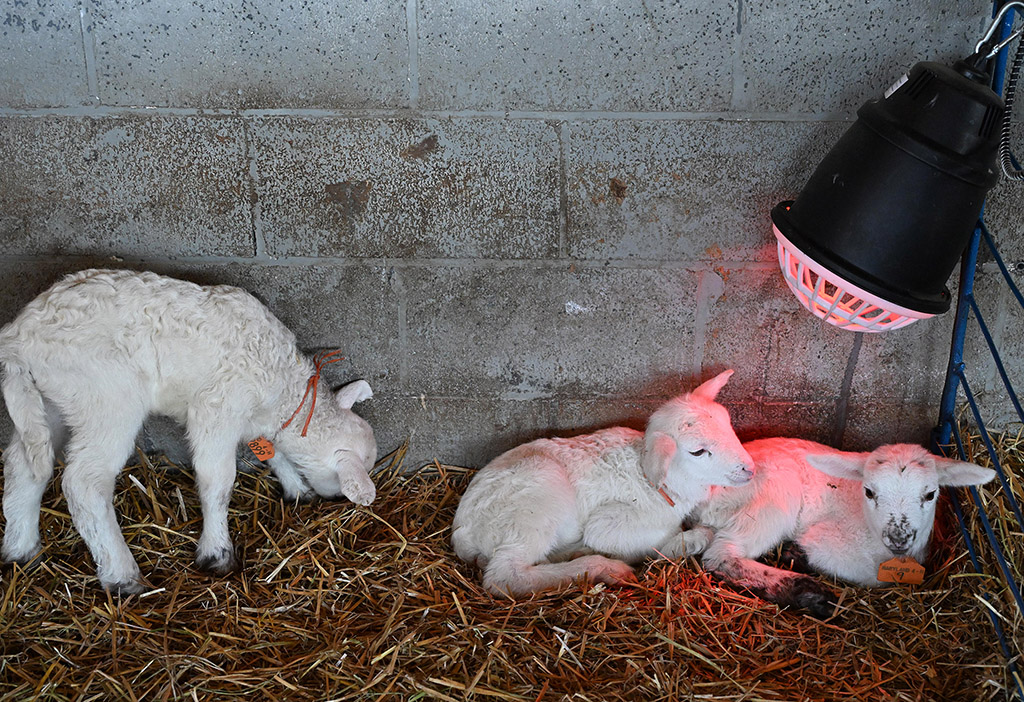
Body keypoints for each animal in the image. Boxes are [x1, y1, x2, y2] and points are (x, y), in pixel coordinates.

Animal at [0, 269, 378, 594]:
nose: (335, 500)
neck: (281, 387)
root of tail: (18, 337)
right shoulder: (216, 407)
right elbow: (217, 482)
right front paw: (217, 553)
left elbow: (273, 452)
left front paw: (297, 488)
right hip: (106, 398)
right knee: (84, 483)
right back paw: (122, 576)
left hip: (51, 398)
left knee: (25, 464)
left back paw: (21, 549)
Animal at [451, 370, 755, 597]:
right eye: (698, 451)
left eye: (728, 425)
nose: (749, 469)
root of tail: (462, 531)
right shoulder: (609, 524)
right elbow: (661, 540)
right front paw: (691, 540)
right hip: (534, 505)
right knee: (505, 576)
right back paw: (604, 566)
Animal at [685, 438, 996, 618]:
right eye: (869, 491)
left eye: (931, 494)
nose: (898, 537)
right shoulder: (830, 541)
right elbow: (869, 575)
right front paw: (795, 555)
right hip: (774, 498)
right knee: (721, 556)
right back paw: (808, 592)